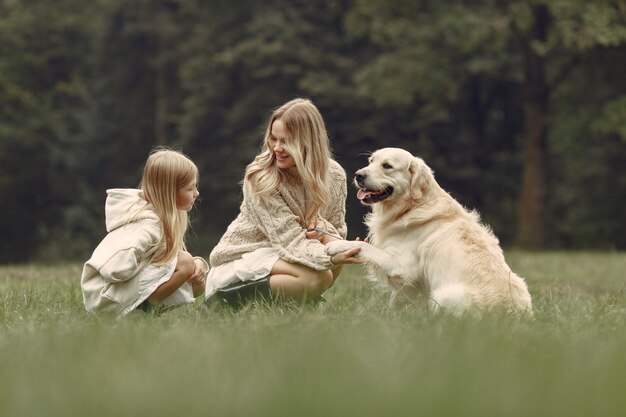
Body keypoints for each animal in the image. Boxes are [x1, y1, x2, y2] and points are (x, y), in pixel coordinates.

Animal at [326, 147, 532, 316]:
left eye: (387, 166)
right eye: (371, 161)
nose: (357, 175)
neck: (410, 207)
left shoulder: (401, 265)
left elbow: (362, 245)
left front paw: (337, 245)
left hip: (446, 295)